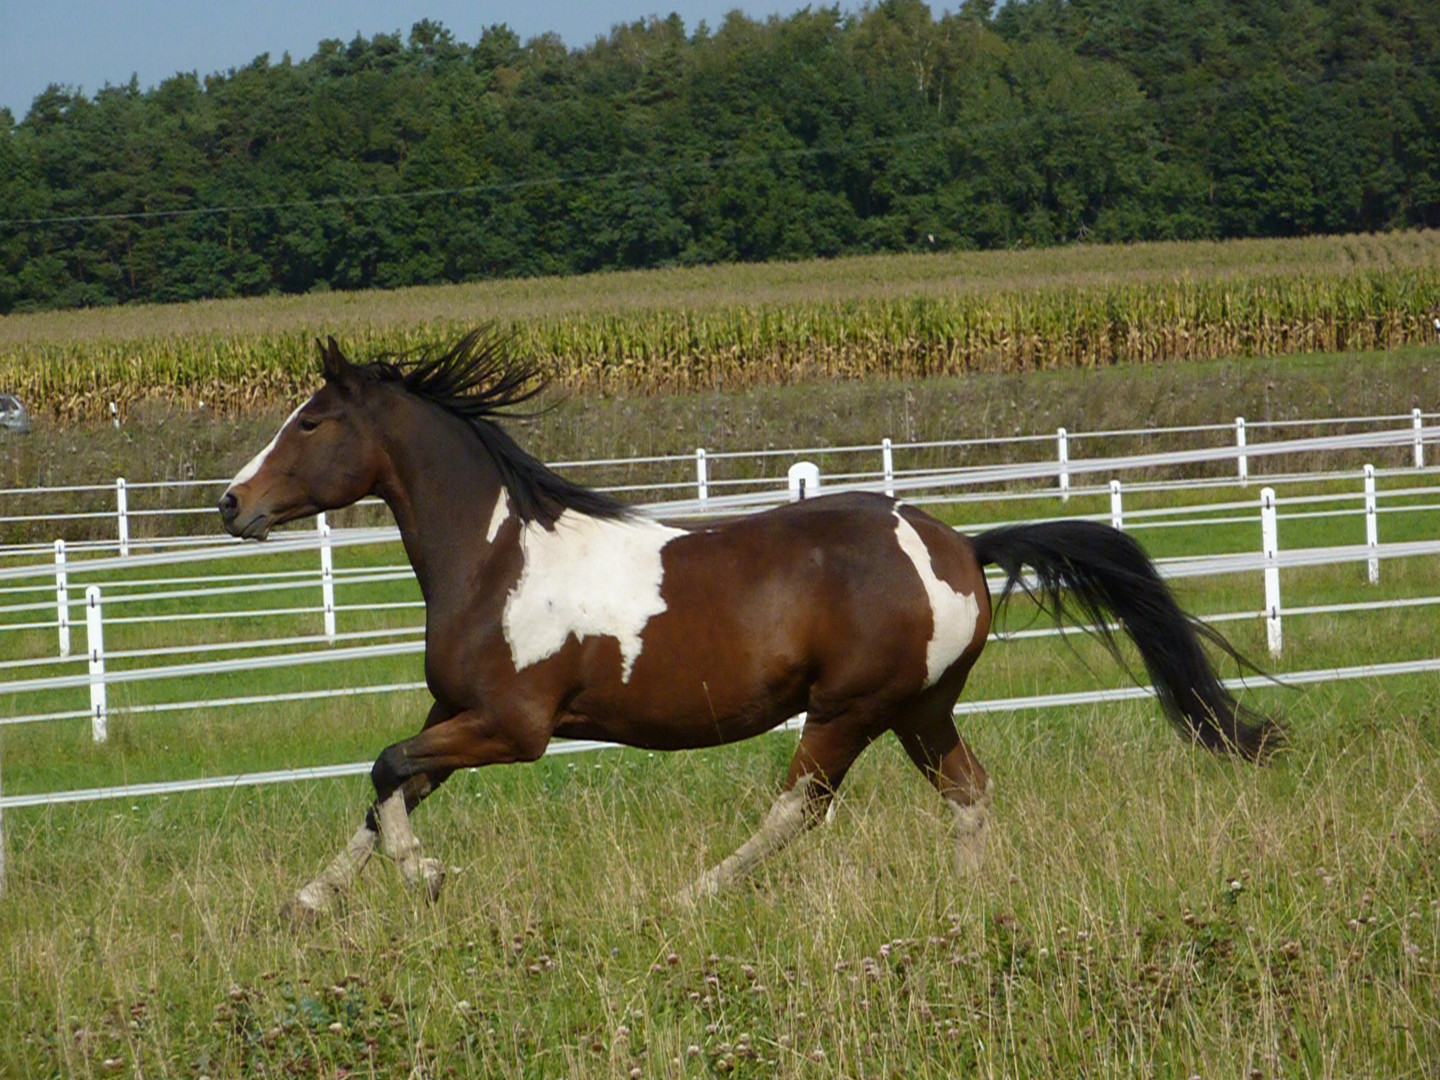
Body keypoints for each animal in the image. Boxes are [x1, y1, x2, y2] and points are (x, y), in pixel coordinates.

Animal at [218, 334, 1278, 927]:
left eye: (309, 422)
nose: (232, 504)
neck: (495, 559)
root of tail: (959, 549)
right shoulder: (459, 713)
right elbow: (385, 788)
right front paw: (305, 905)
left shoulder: (513, 730)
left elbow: (386, 769)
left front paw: (426, 879)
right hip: (920, 708)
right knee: (969, 793)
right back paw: (970, 902)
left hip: (851, 708)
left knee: (799, 808)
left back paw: (690, 898)